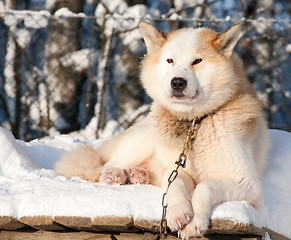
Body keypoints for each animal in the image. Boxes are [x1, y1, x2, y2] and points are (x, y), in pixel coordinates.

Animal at [56, 22, 270, 238]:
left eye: (197, 61)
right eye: (170, 60)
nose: (177, 82)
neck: (194, 123)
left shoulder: (249, 184)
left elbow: (205, 186)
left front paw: (195, 223)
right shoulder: (176, 169)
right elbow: (174, 183)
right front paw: (179, 212)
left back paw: (138, 174)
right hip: (143, 140)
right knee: (104, 168)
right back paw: (115, 174)